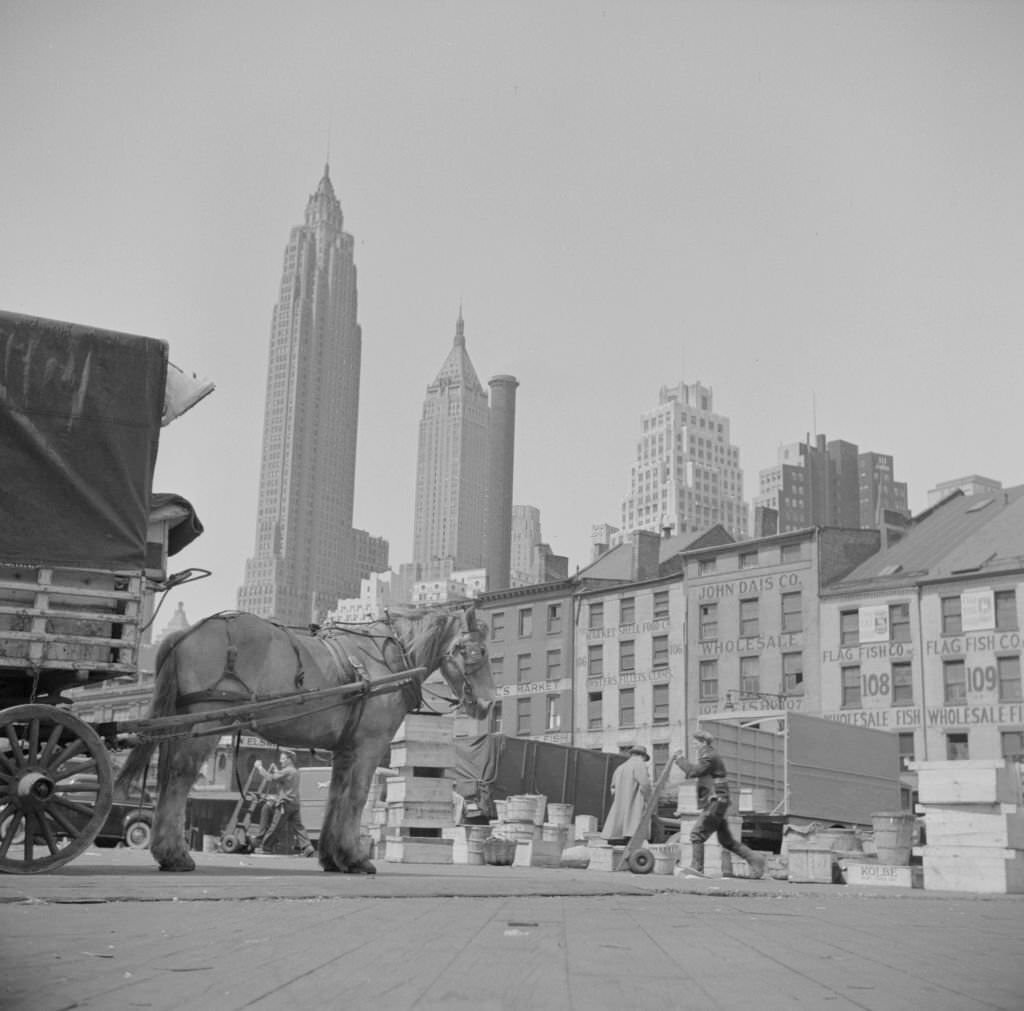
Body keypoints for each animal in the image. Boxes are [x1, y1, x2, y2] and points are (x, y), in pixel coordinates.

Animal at [116, 606, 491, 872]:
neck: (388, 660)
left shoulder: (345, 749)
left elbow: (337, 797)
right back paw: (175, 854)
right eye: (474, 651)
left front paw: (334, 858)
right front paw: (356, 858)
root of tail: (186, 632)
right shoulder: (369, 745)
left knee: (168, 777)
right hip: (204, 722)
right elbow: (356, 797)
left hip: (182, 722)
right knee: (179, 779)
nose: (487, 703)